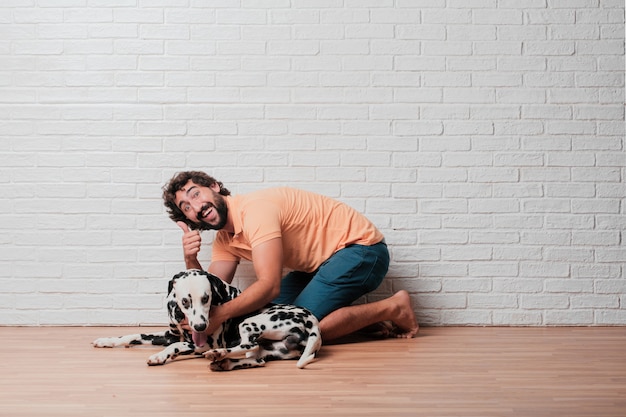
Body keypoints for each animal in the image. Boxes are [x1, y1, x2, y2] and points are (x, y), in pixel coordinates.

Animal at [92, 270, 322, 370]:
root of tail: (313, 324)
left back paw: (218, 354)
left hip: (250, 323)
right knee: (256, 358)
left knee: (248, 344)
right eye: (185, 301)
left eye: (206, 298)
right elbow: (133, 335)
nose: (201, 326)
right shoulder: (168, 334)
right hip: (266, 350)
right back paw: (224, 362)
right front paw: (107, 340)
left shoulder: (199, 344)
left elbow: (175, 346)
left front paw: (160, 356)